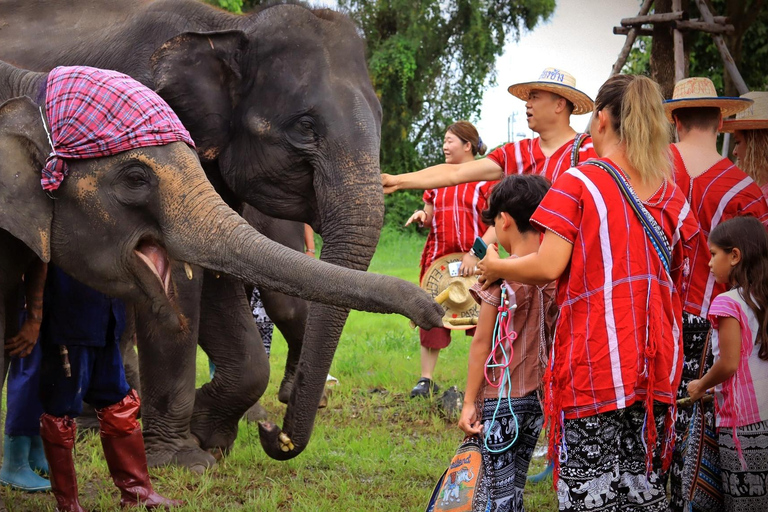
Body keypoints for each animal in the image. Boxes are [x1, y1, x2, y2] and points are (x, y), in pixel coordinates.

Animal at [0, 0, 414, 468]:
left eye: (381, 119)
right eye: (305, 127)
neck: (228, 27)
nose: (276, 435)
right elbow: (182, 277)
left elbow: (214, 274)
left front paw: (211, 436)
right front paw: (184, 459)